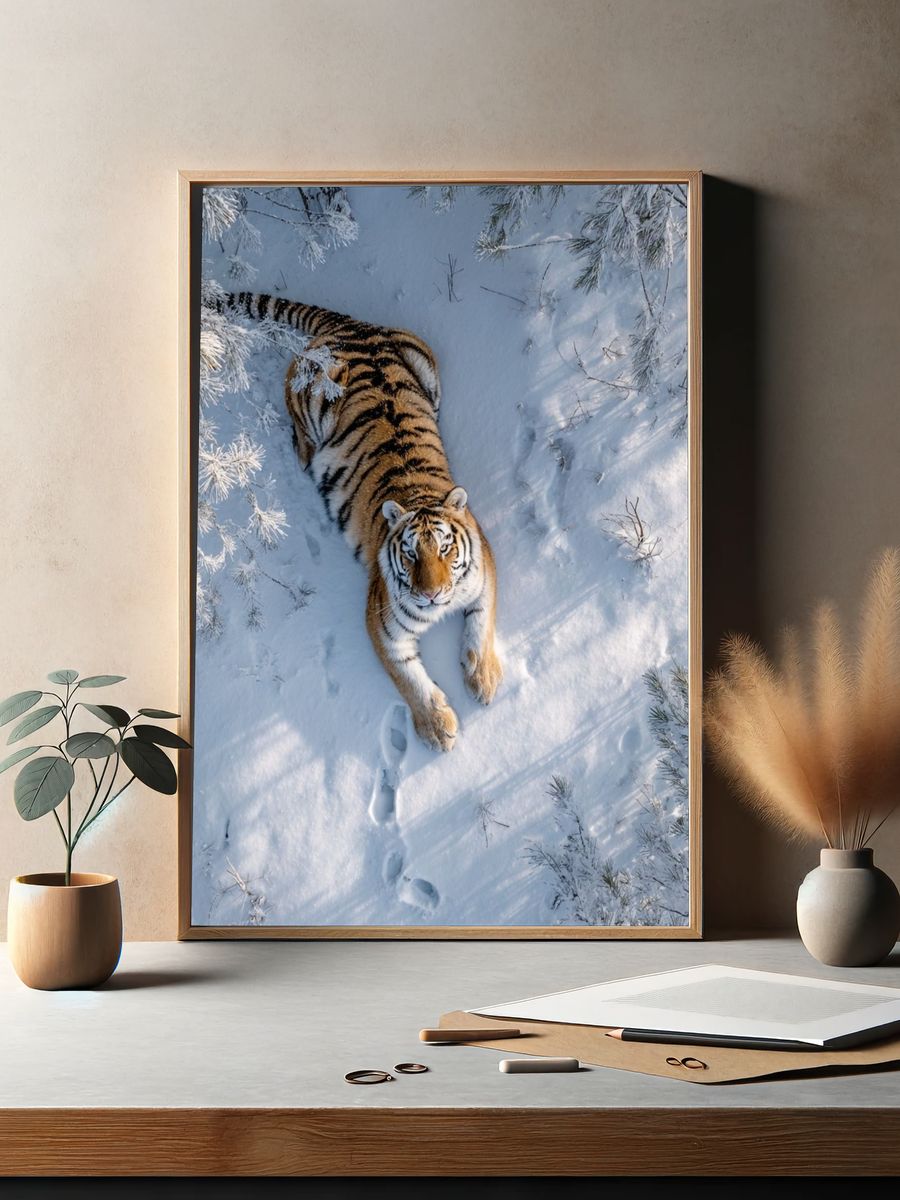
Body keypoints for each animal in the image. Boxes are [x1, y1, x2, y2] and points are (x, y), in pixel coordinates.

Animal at [219, 291, 502, 752]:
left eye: (445, 548)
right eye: (410, 554)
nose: (432, 596)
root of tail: (352, 325)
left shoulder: (485, 573)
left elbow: (480, 626)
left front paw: (484, 678)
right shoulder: (382, 623)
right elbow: (408, 677)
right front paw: (437, 727)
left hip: (428, 367)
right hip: (311, 390)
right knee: (295, 416)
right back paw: (305, 456)